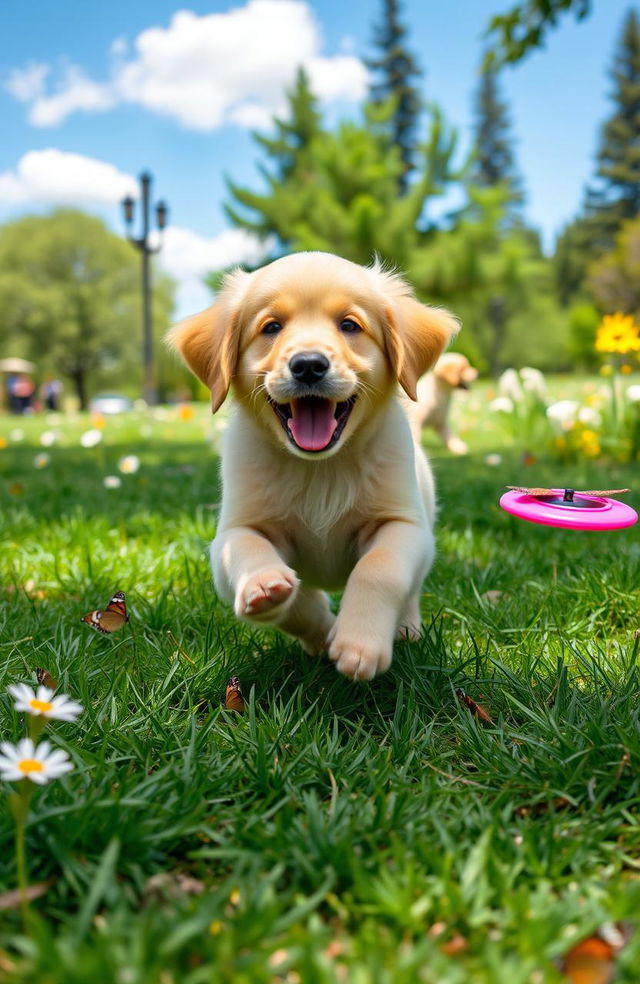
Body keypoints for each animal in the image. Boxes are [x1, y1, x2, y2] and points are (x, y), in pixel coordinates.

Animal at [170, 252, 458, 676]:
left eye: (349, 325)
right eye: (272, 327)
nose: (307, 365)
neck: (320, 468)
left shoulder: (404, 525)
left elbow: (379, 570)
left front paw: (359, 643)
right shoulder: (234, 532)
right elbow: (265, 565)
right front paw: (275, 595)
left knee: (411, 591)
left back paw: (406, 628)